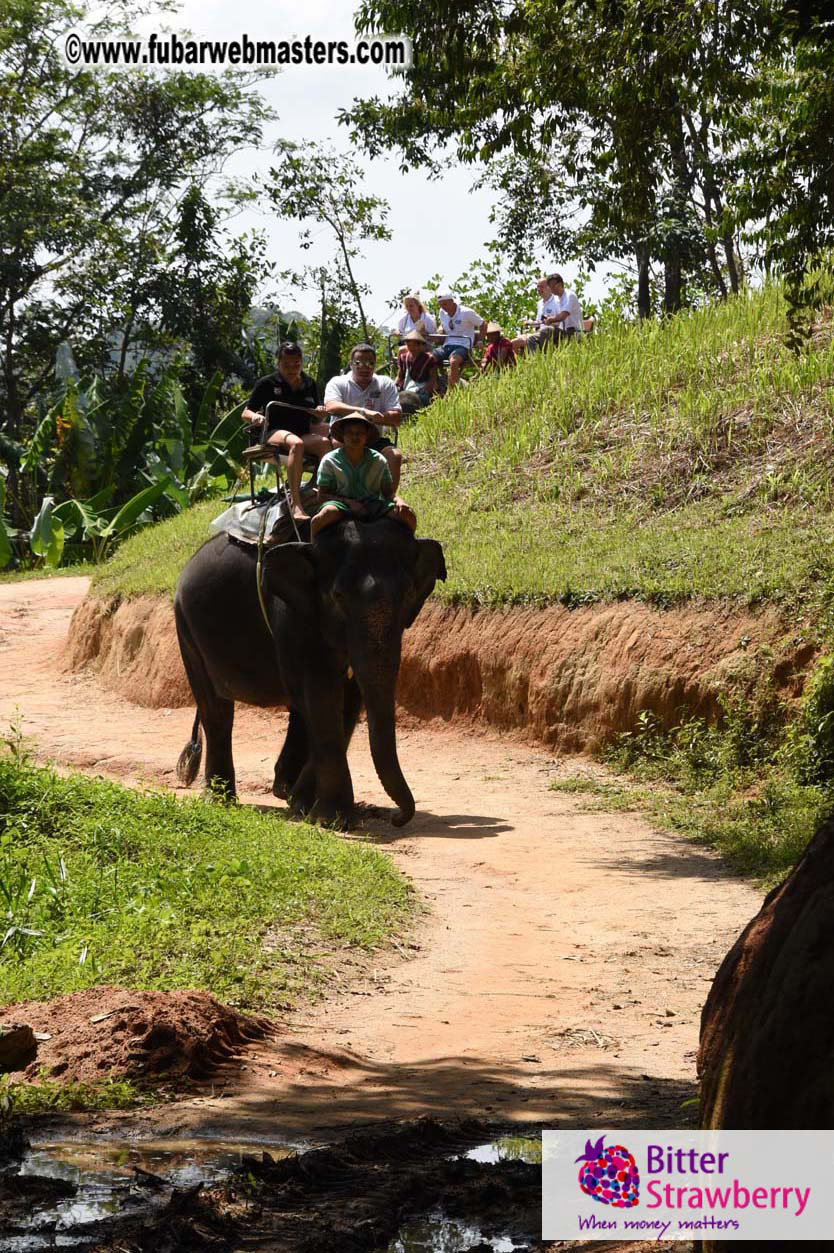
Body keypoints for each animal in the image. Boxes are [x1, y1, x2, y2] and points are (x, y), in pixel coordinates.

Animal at [173, 516, 446, 828]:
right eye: (338, 597)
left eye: (409, 594)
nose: (397, 818)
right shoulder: (292, 616)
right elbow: (321, 696)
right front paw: (332, 820)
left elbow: (347, 701)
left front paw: (302, 804)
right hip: (186, 629)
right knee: (216, 711)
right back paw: (221, 800)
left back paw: (283, 788)